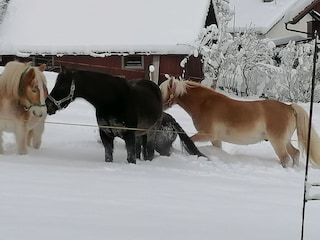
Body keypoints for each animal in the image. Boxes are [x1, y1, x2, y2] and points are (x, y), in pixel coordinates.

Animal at [160, 78, 320, 168]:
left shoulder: (208, 135)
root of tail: (289, 107)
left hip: (278, 142)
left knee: (286, 159)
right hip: (285, 141)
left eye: (162, 91)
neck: (204, 104)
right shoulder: (216, 139)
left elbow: (190, 140)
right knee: (296, 153)